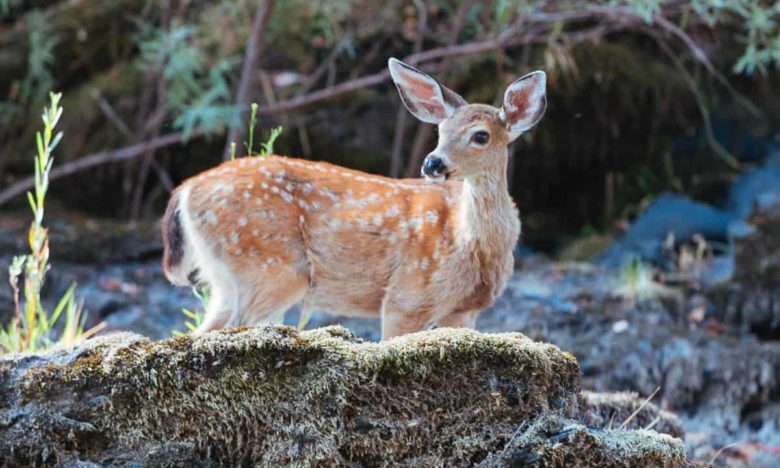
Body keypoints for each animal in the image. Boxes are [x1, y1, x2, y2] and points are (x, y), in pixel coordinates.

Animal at [161, 58, 547, 339]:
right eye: (441, 131)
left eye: (481, 135)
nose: (432, 163)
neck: (469, 243)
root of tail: (185, 190)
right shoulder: (406, 297)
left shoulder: (463, 310)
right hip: (270, 266)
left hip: (226, 278)